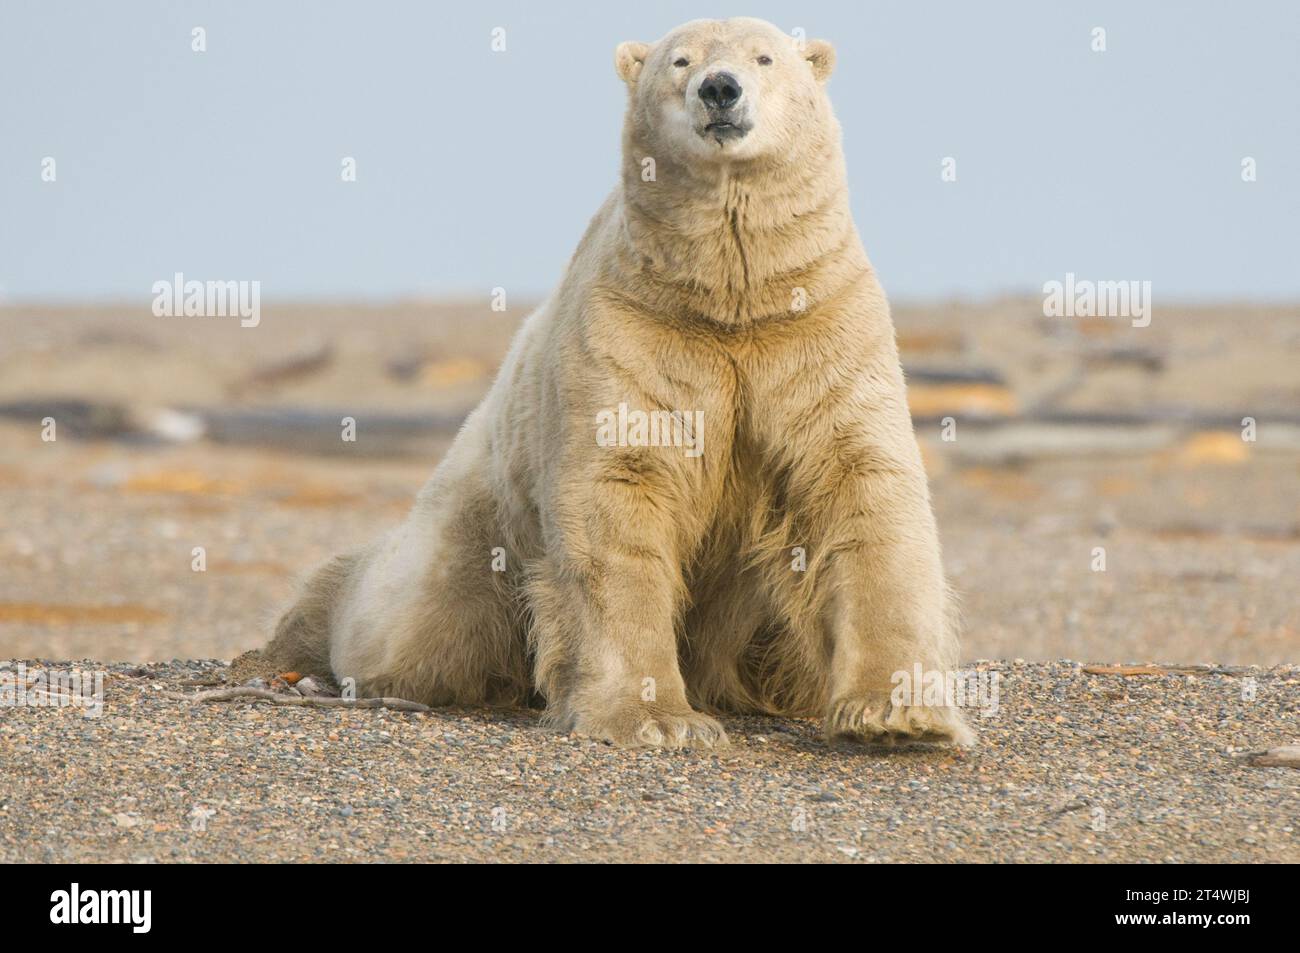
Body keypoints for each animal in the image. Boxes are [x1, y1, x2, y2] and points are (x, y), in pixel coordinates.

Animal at [266, 11, 977, 748]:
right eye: (680, 60)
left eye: (765, 57)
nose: (720, 89)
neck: (733, 299)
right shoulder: (633, 328)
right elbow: (616, 489)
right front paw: (656, 719)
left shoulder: (818, 326)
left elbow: (861, 478)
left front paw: (900, 715)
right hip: (472, 526)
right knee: (403, 621)